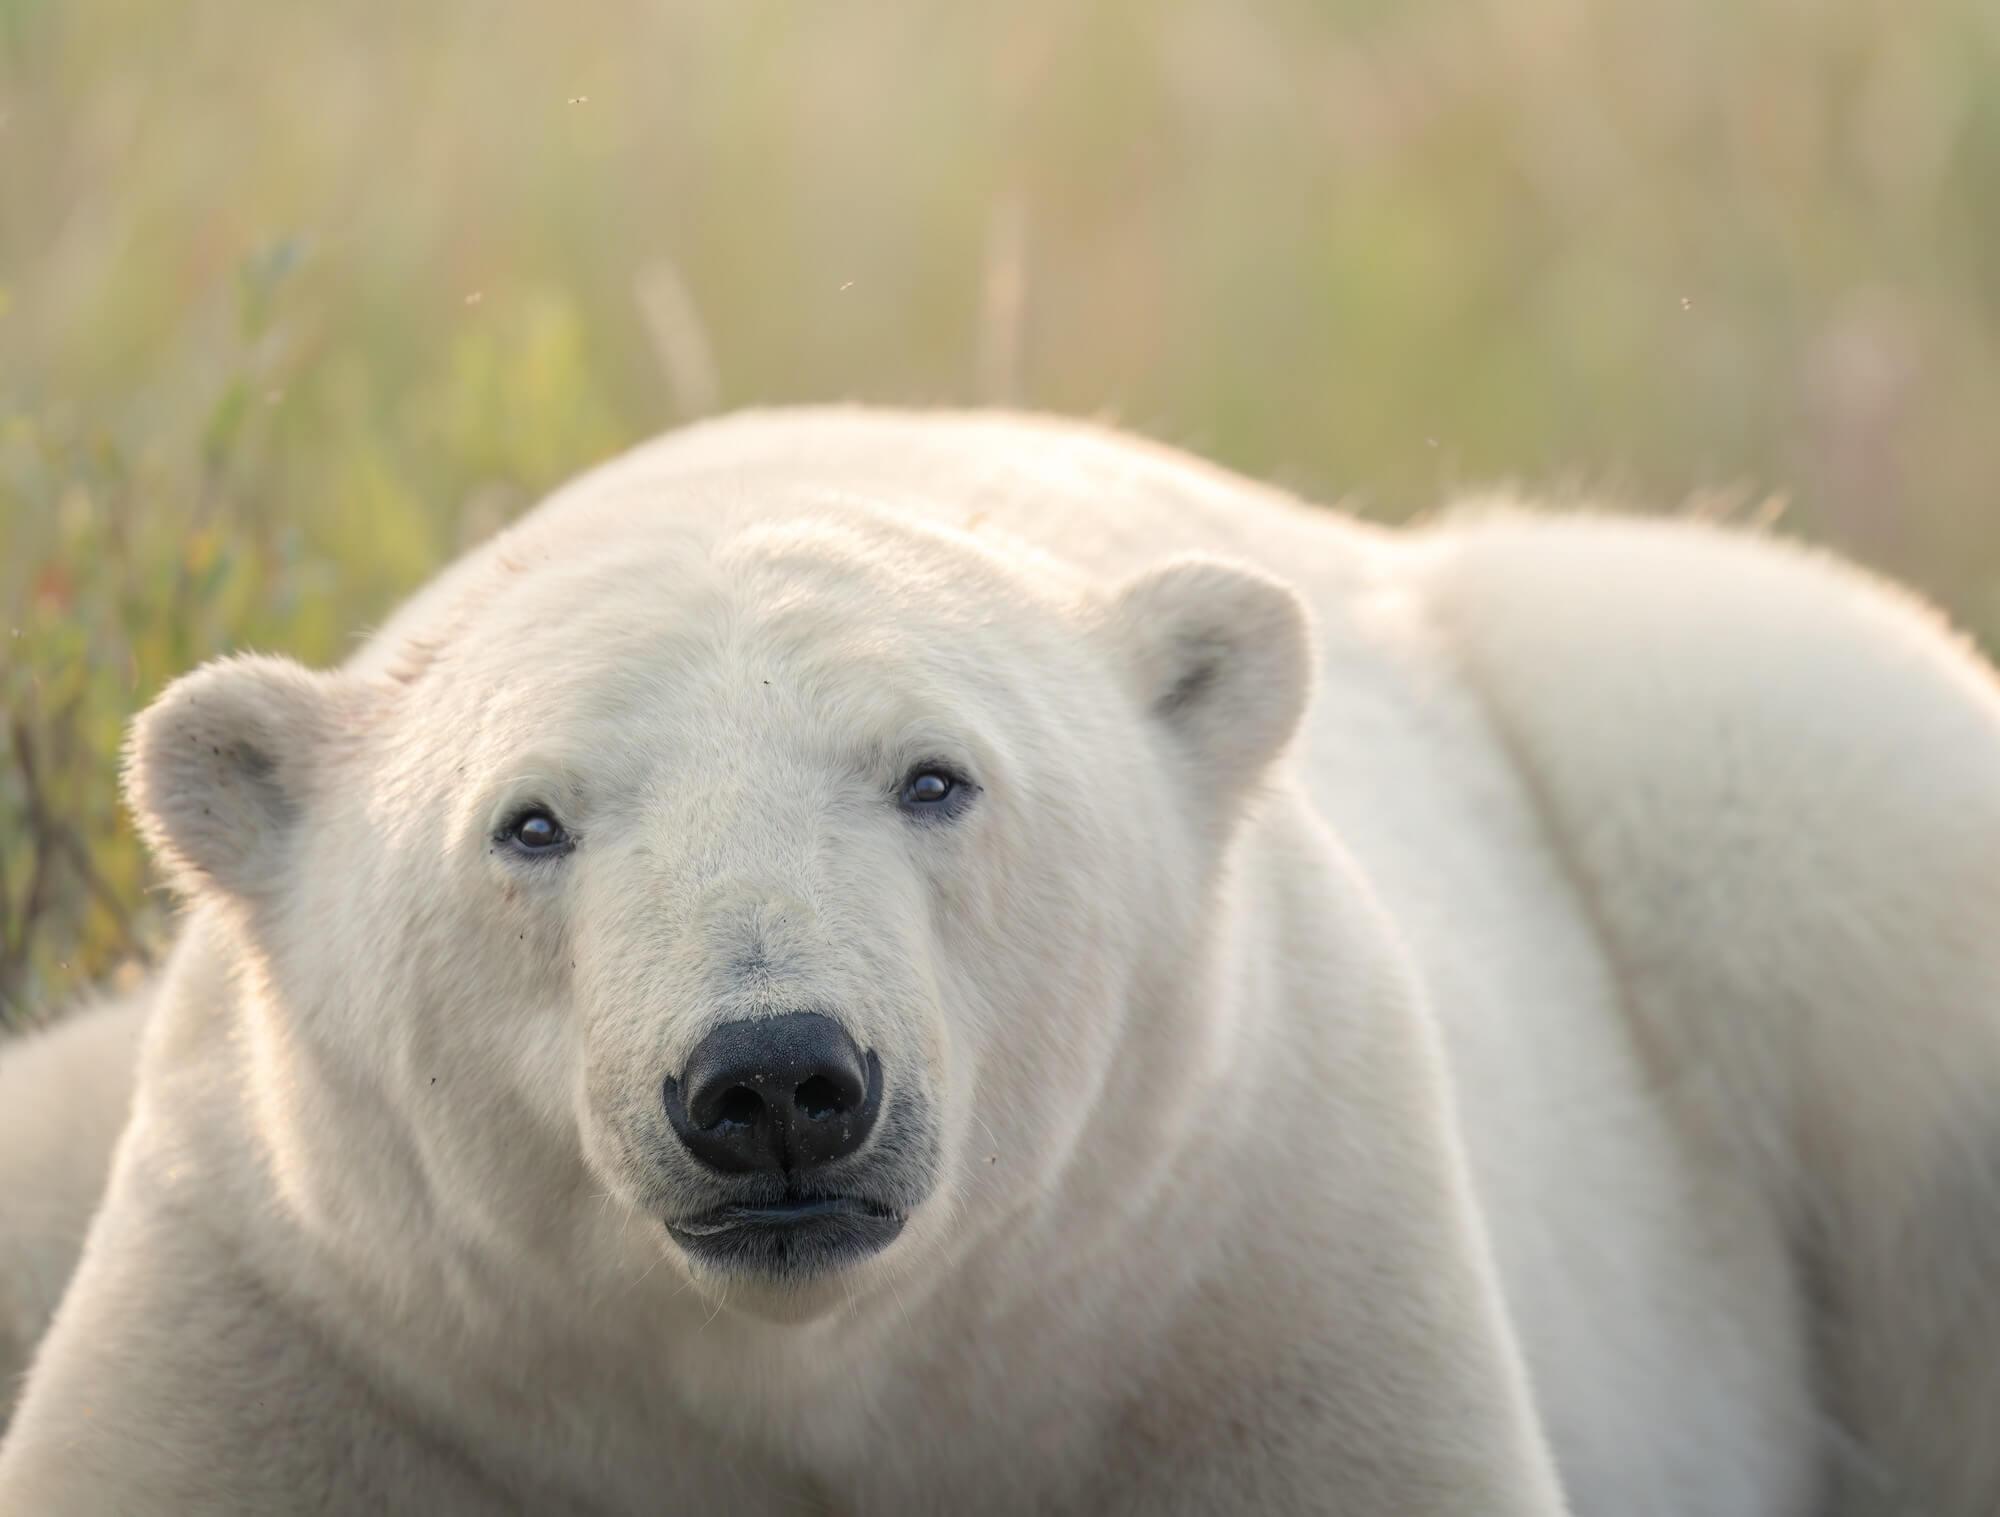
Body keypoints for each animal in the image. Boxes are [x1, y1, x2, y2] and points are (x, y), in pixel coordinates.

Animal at [3, 406, 2000, 1517]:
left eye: (933, 775)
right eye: (531, 822)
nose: (774, 1079)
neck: (807, 1383)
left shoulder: (1253, 1281)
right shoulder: (314, 1310)